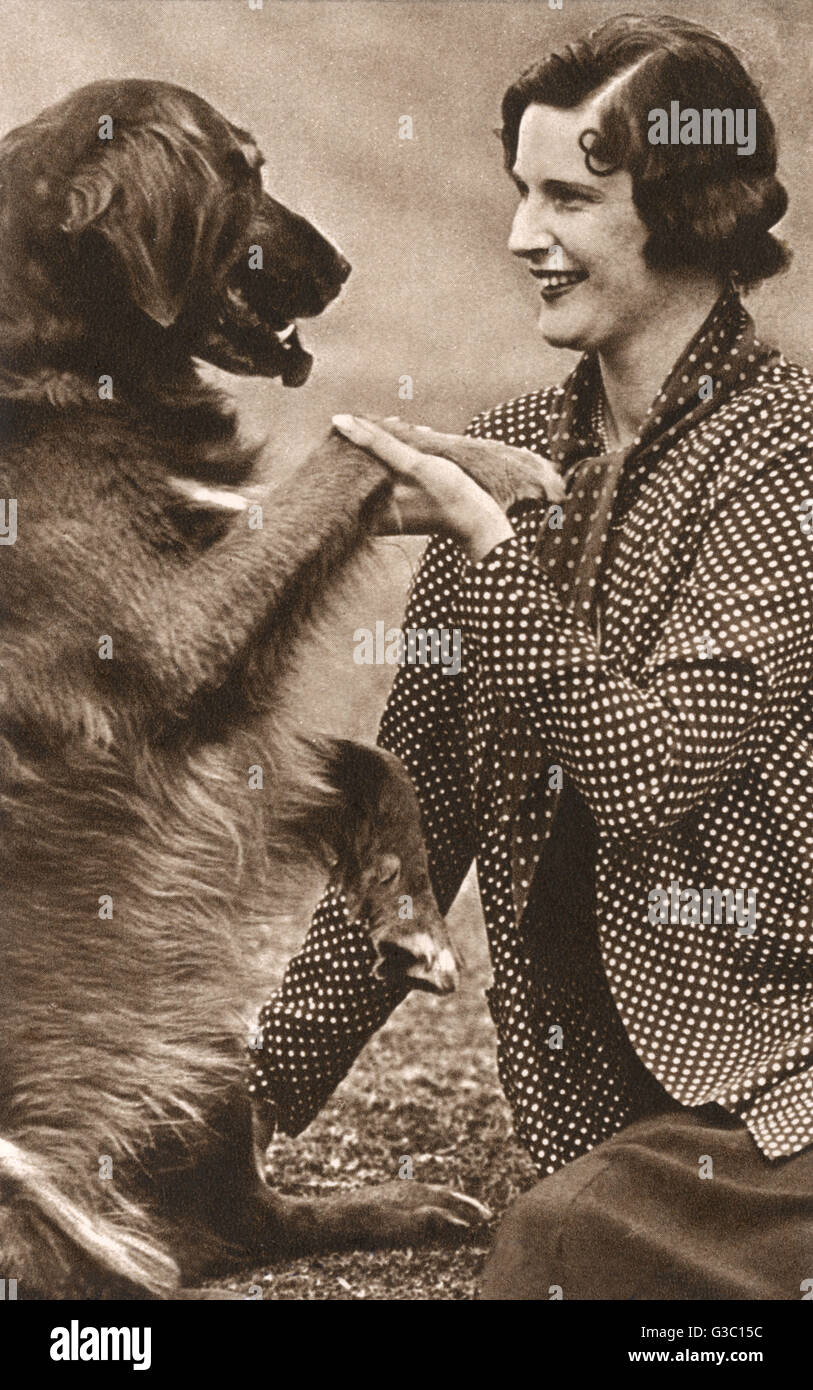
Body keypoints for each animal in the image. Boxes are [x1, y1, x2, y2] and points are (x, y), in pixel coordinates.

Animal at [0, 84, 544, 1301]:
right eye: (241, 172)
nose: (342, 267)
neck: (46, 345)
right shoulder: (172, 647)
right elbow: (355, 450)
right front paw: (493, 465)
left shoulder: (201, 732)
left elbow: (361, 754)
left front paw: (406, 914)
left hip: (189, 1015)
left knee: (231, 1230)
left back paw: (402, 1206)